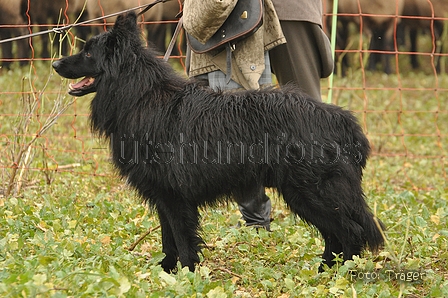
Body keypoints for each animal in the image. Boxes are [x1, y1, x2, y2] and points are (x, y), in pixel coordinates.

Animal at [51, 11, 382, 272]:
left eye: (88, 53)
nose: (55, 64)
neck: (139, 95)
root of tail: (342, 120)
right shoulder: (162, 195)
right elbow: (168, 240)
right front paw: (166, 273)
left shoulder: (174, 197)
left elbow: (182, 240)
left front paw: (187, 276)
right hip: (304, 194)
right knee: (335, 234)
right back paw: (324, 270)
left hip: (312, 191)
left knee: (351, 231)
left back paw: (341, 274)